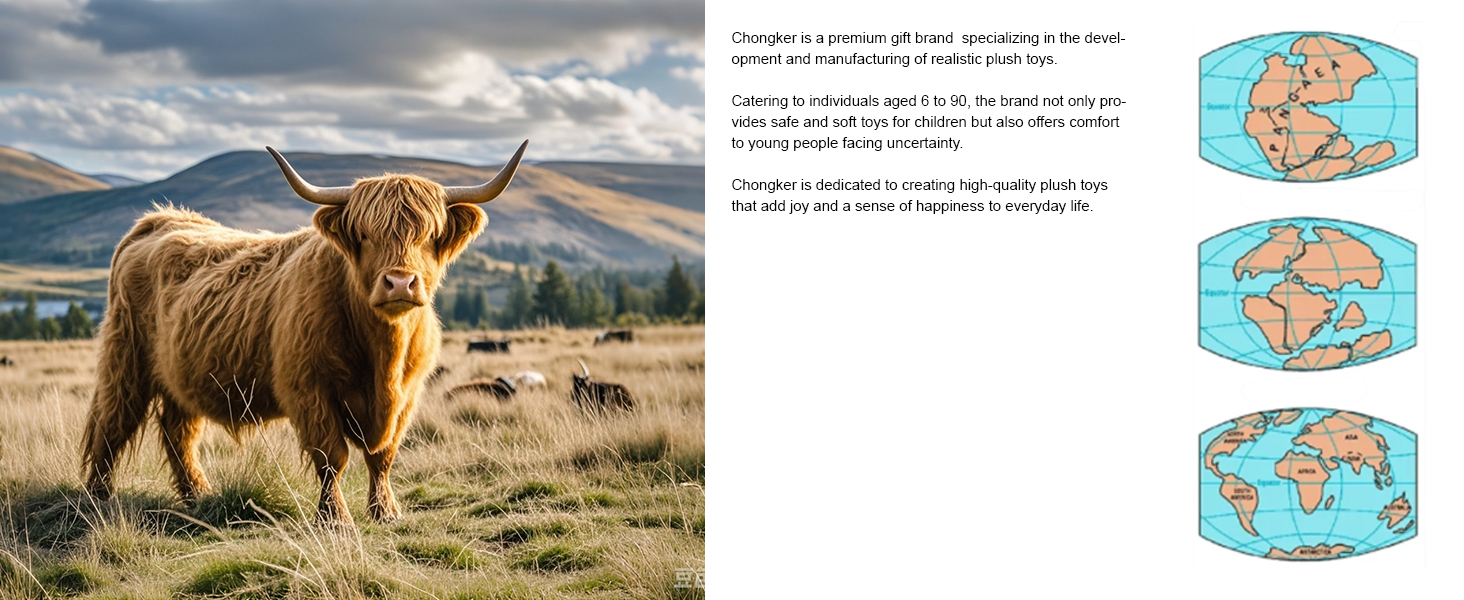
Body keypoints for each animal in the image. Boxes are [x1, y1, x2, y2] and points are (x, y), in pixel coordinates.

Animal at [80, 140, 529, 524]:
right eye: (364, 235)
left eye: (431, 235)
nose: (400, 283)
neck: (383, 355)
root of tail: (158, 220)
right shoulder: (309, 388)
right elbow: (333, 456)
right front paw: (335, 518)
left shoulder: (408, 393)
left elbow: (382, 456)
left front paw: (385, 511)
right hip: (125, 361)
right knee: (111, 425)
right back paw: (97, 497)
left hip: (179, 375)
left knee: (179, 432)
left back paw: (198, 495)